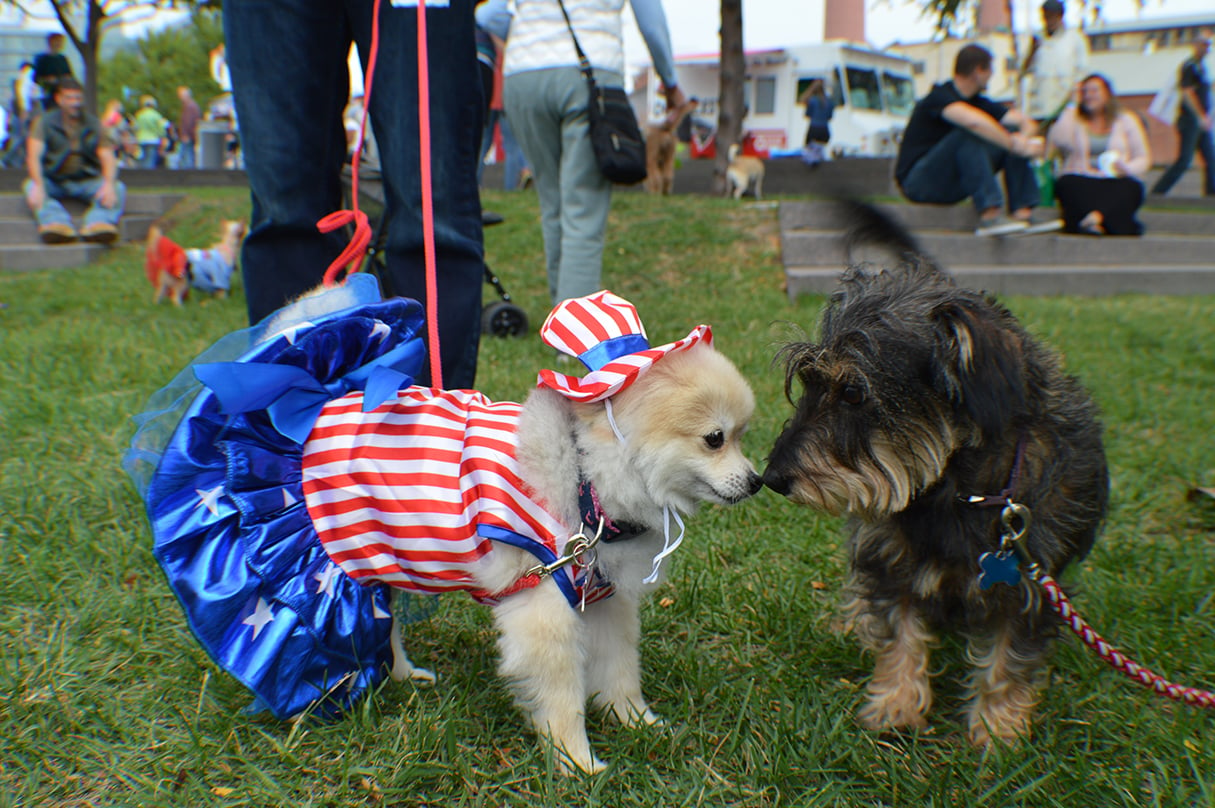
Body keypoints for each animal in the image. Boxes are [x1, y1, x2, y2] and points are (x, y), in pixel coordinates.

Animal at [135, 286, 758, 772]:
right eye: (715, 439)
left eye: (743, 435)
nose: (756, 480)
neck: (586, 477)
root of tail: (316, 406)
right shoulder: (544, 606)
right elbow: (562, 695)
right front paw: (577, 763)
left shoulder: (602, 599)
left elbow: (620, 671)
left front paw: (639, 724)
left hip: (373, 557)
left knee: (384, 623)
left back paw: (403, 675)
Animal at [767, 205, 1112, 748]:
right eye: (808, 382)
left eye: (853, 393)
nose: (772, 477)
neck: (959, 489)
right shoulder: (890, 558)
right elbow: (899, 633)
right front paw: (895, 706)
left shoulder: (1030, 583)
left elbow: (1007, 660)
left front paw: (997, 731)